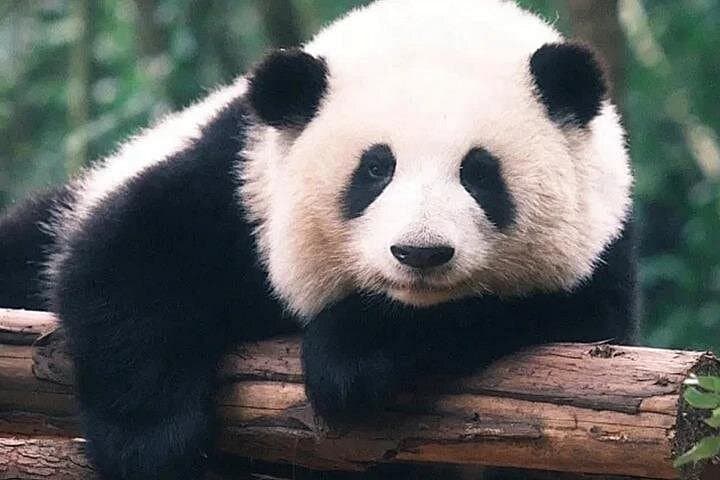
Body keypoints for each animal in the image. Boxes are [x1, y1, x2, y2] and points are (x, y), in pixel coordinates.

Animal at [0, 0, 637, 478]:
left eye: (479, 173)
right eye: (375, 169)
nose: (420, 253)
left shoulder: (601, 252)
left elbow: (539, 315)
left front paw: (353, 353)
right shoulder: (239, 182)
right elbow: (129, 263)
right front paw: (153, 449)